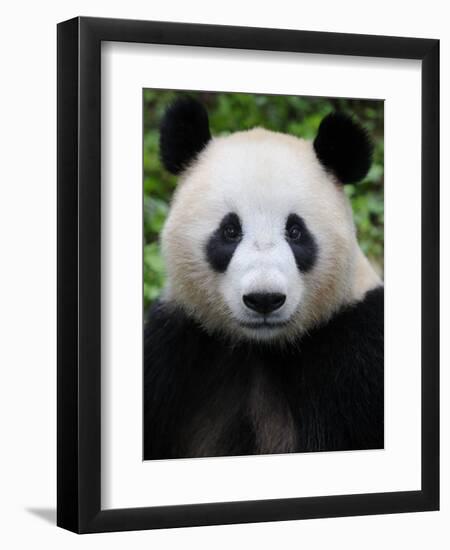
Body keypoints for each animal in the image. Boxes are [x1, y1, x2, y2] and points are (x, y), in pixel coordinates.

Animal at [144, 98, 384, 462]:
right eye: (230, 230)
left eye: (296, 231)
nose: (264, 299)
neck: (262, 348)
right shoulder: (172, 348)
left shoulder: (360, 353)